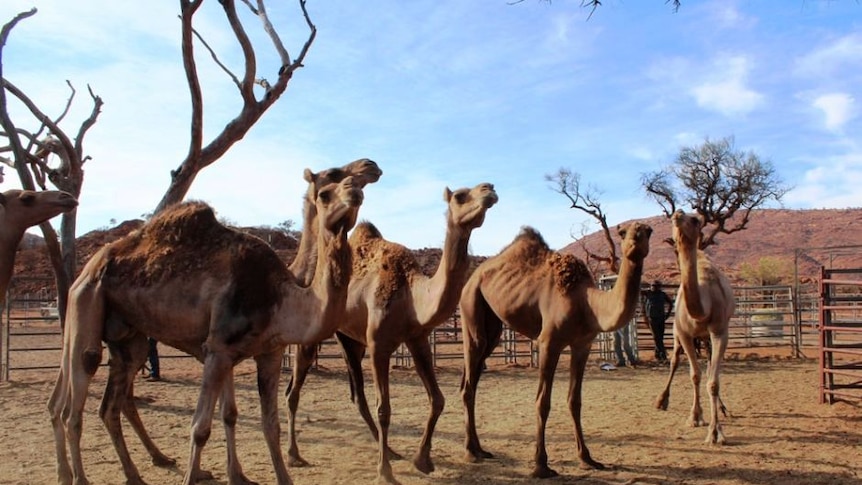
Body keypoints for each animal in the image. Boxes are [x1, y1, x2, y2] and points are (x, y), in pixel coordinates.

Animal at [286, 182, 500, 484]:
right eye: (460, 196)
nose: (489, 189)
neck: (412, 296)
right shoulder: (379, 344)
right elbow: (384, 408)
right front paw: (385, 472)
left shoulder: (417, 338)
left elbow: (437, 399)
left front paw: (422, 460)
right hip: (314, 333)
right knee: (294, 392)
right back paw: (295, 456)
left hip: (350, 339)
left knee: (356, 395)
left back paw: (391, 451)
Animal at [462, 221, 652, 478]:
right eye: (622, 233)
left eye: (648, 231)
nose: (635, 243)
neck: (586, 303)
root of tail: (472, 277)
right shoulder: (548, 343)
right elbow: (543, 402)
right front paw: (541, 465)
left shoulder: (582, 345)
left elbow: (575, 401)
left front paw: (587, 458)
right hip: (471, 305)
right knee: (470, 378)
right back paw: (471, 452)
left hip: (492, 326)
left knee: (473, 378)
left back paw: (480, 449)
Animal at [656, 208, 736, 442]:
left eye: (694, 220)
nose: (677, 214)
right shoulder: (684, 333)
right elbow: (694, 375)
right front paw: (695, 416)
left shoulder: (720, 331)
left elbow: (713, 381)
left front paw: (716, 432)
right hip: (676, 333)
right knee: (675, 360)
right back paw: (662, 401)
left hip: (707, 336)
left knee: (709, 365)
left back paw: (722, 408)